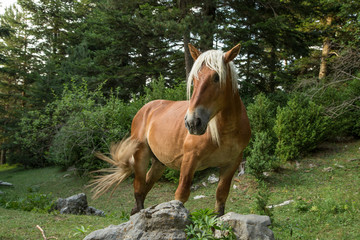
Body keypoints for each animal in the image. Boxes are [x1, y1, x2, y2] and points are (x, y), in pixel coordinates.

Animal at [90, 43, 250, 216]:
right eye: (194, 79)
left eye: (216, 77)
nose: (193, 122)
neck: (225, 132)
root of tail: (145, 109)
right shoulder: (190, 159)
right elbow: (181, 195)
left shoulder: (231, 164)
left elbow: (221, 196)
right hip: (141, 156)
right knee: (139, 189)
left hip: (159, 164)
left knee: (145, 187)